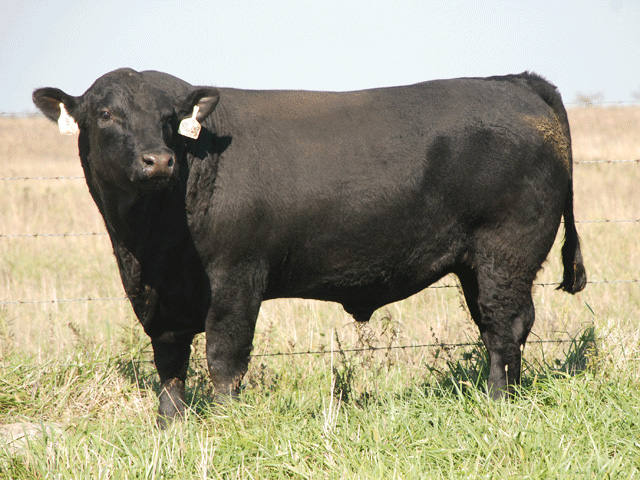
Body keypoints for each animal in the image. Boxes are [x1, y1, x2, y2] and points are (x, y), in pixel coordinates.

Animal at [33, 68, 586, 427]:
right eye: (106, 113)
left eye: (170, 118)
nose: (159, 160)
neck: (148, 243)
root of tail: (513, 81)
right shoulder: (158, 296)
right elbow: (169, 364)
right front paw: (171, 430)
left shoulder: (237, 277)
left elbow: (224, 358)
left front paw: (228, 425)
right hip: (477, 262)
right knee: (509, 324)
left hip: (505, 250)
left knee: (503, 325)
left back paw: (497, 404)